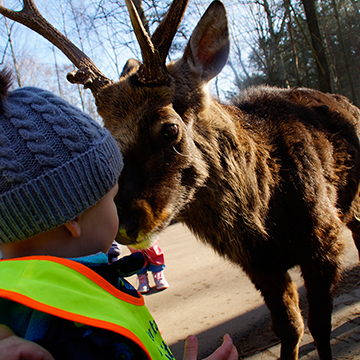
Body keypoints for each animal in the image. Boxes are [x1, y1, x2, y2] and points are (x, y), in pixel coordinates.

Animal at [2, 0, 360, 360]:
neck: (268, 212)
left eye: (169, 128)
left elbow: (319, 325)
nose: (125, 223)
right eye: (109, 138)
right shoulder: (259, 264)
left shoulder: (323, 238)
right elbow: (290, 327)